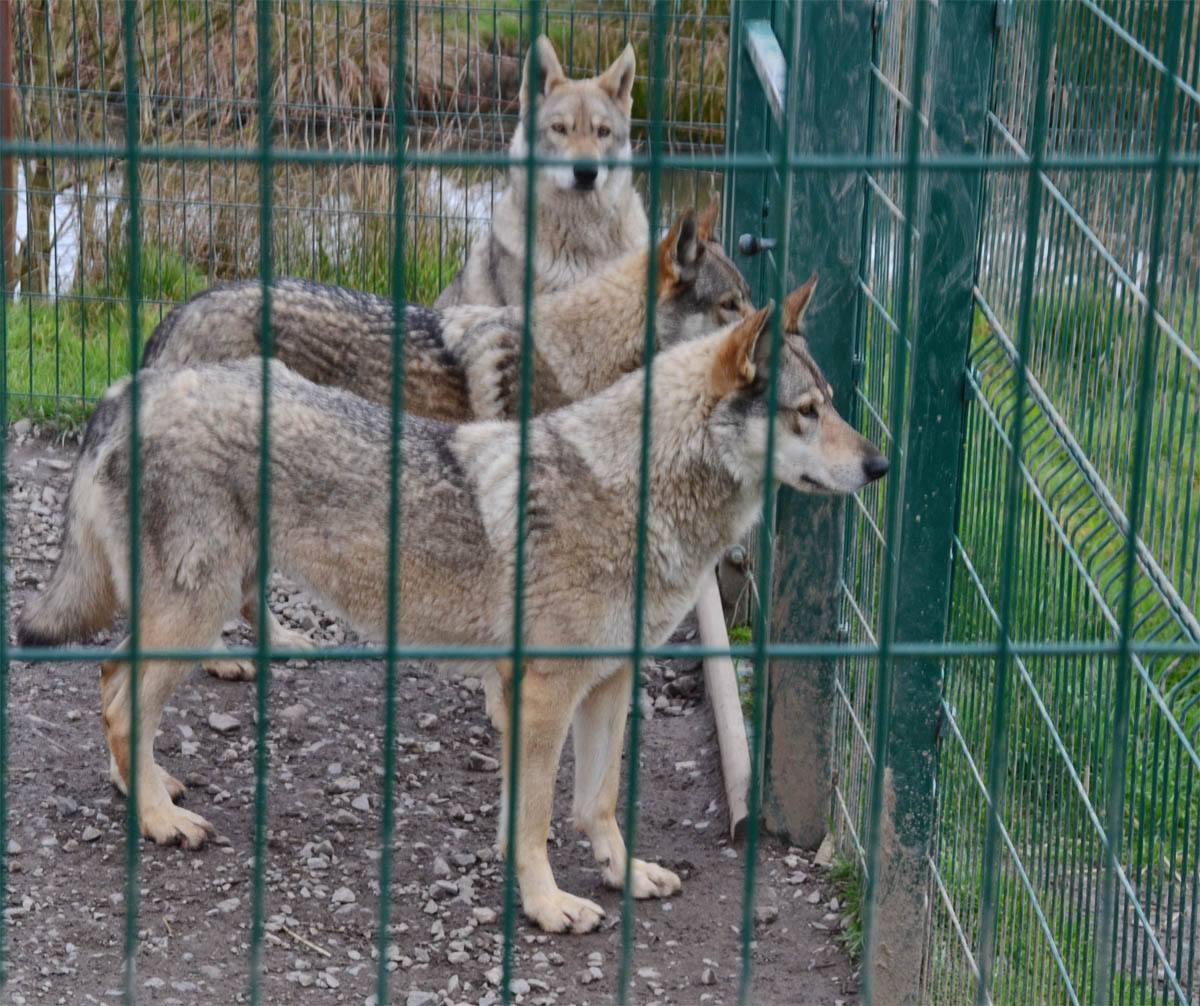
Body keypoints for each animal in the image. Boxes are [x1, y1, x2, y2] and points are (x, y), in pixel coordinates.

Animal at [18, 288, 887, 932]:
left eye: (834, 405)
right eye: (806, 411)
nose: (881, 464)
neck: (635, 495)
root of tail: (134, 389)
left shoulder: (607, 685)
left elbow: (597, 803)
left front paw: (623, 872)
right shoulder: (540, 696)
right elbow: (532, 818)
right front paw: (548, 906)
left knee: (117, 696)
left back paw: (149, 790)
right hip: (195, 618)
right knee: (117, 695)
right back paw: (160, 821)